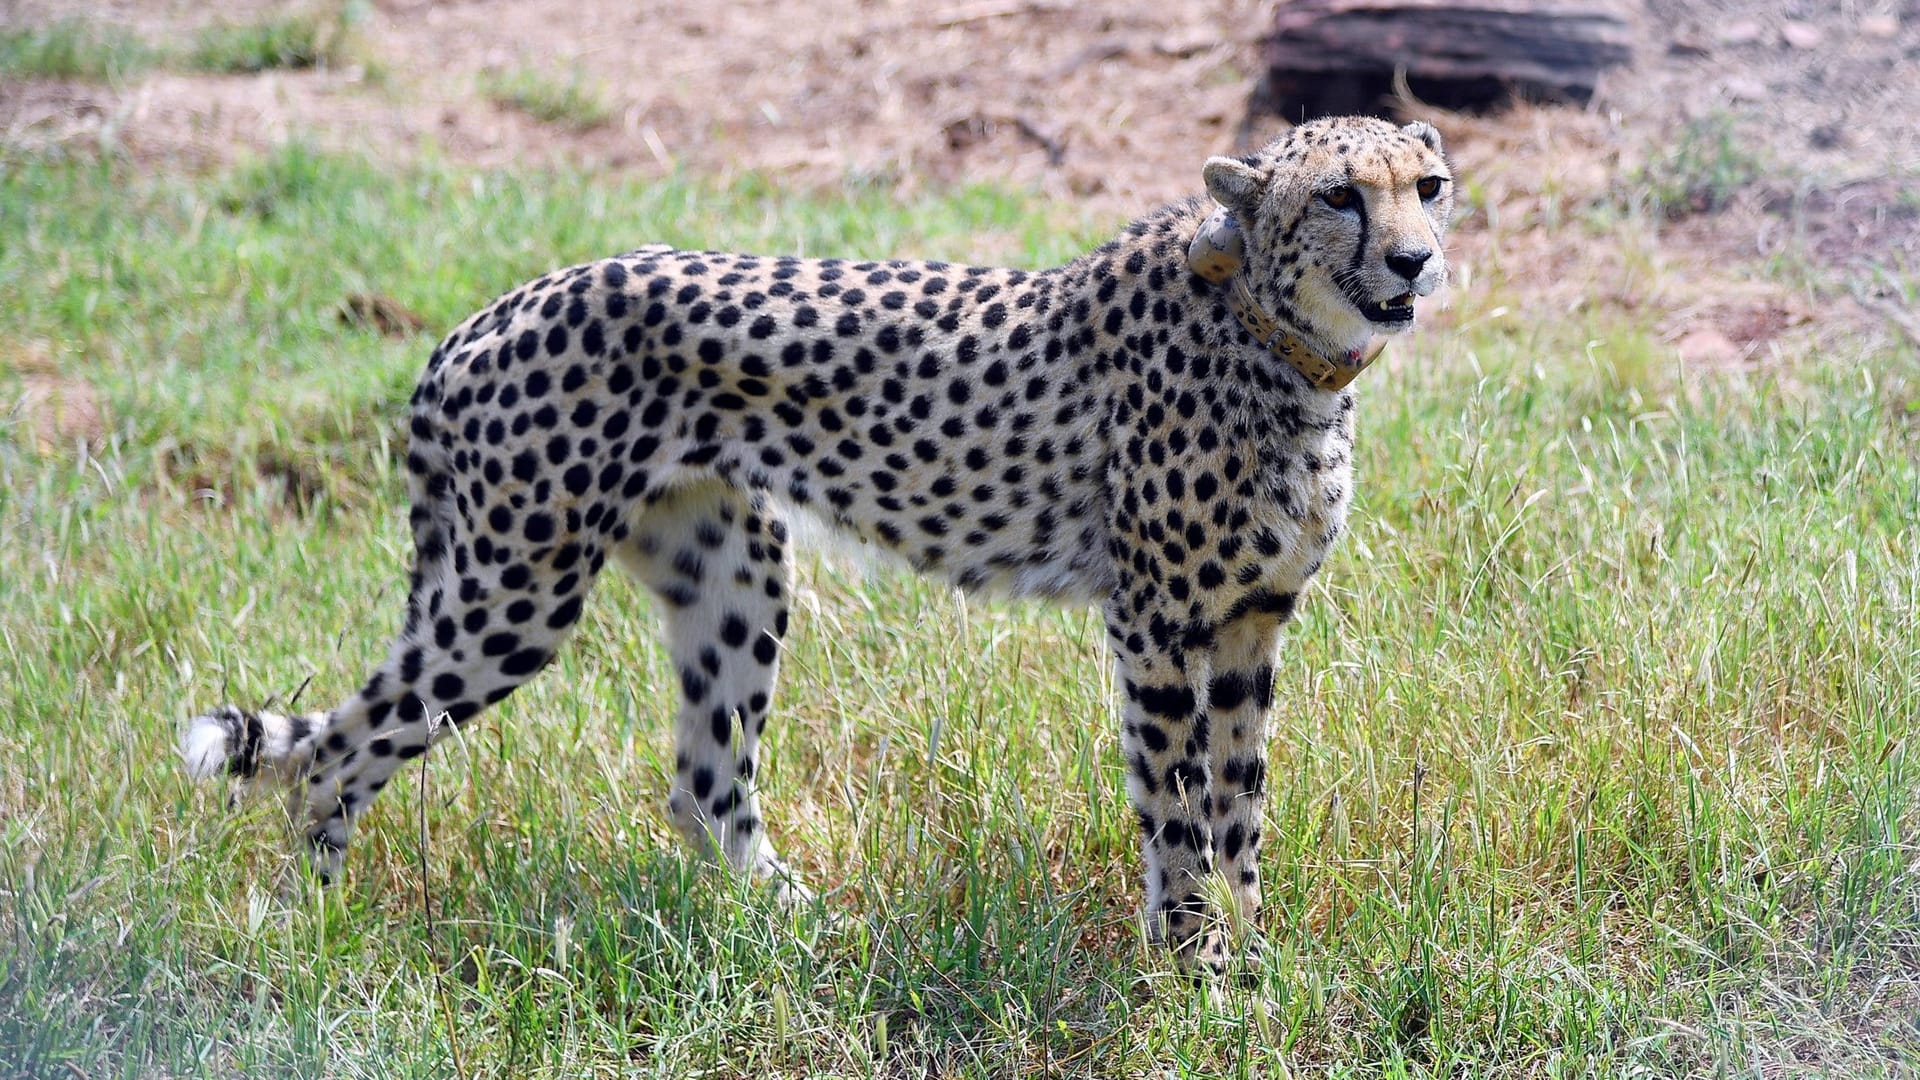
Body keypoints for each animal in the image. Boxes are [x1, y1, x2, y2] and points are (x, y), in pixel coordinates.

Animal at [187, 113, 1451, 972]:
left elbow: (1241, 806)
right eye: (1342, 196)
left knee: (704, 785)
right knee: (339, 751)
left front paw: (1255, 958)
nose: (1416, 260)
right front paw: (1199, 967)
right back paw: (316, 930)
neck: (1281, 342)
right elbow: (1179, 809)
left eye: (1429, 187)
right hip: (516, 591)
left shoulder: (1249, 623)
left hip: (731, 570)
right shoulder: (1156, 623)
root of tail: (487, 313)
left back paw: (805, 932)